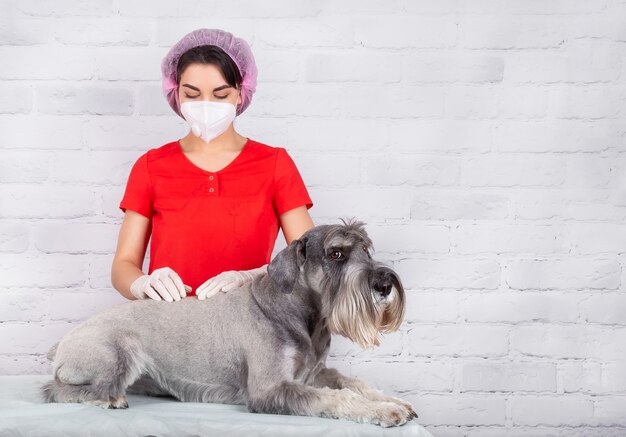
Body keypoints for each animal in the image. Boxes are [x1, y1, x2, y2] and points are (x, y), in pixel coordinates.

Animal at [41, 217, 416, 426]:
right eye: (336, 252)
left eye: (366, 249)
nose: (384, 283)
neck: (300, 314)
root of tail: (62, 343)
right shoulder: (271, 389)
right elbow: (336, 398)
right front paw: (385, 412)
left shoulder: (316, 373)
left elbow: (353, 384)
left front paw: (393, 401)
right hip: (119, 355)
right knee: (58, 390)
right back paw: (109, 398)